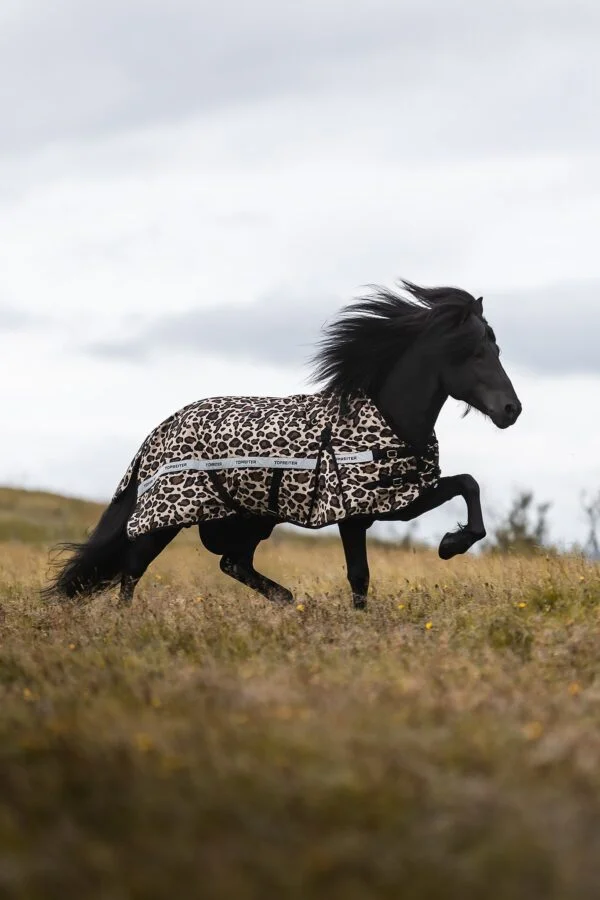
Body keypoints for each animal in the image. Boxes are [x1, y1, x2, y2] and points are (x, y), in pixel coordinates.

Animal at [44, 281, 521, 609]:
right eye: (476, 352)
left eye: (496, 349)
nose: (512, 409)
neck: (388, 415)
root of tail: (157, 432)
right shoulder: (359, 511)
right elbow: (360, 576)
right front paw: (448, 547)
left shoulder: (399, 499)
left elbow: (468, 484)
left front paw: (450, 545)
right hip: (169, 518)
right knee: (133, 568)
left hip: (251, 518)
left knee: (231, 563)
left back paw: (289, 601)